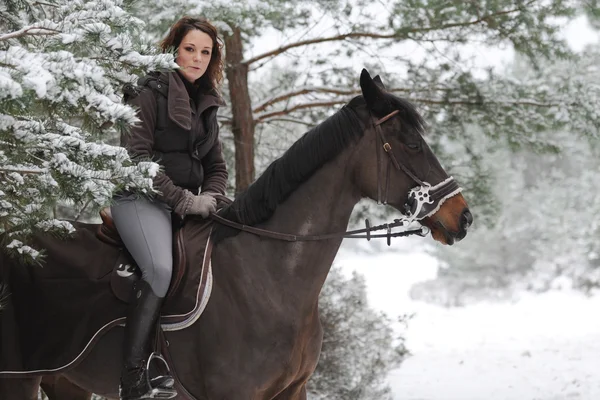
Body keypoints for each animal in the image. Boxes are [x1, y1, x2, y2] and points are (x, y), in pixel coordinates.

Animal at [1, 70, 474, 398]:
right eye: (411, 143)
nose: (463, 217)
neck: (269, 277)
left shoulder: (292, 391)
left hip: (65, 381)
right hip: (19, 380)